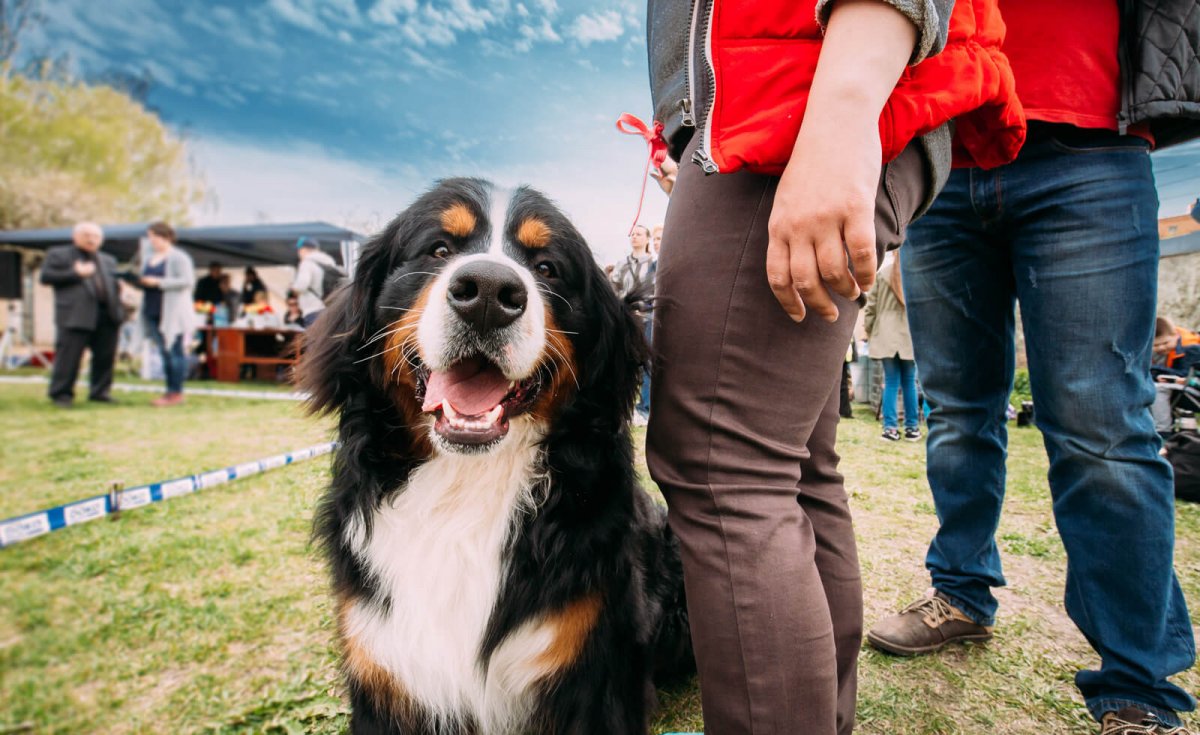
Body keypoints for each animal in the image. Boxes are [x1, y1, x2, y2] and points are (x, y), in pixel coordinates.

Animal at [300, 178, 696, 735]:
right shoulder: (385, 665)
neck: (466, 486)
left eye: (547, 267)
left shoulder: (592, 676)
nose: (488, 292)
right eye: (438, 249)